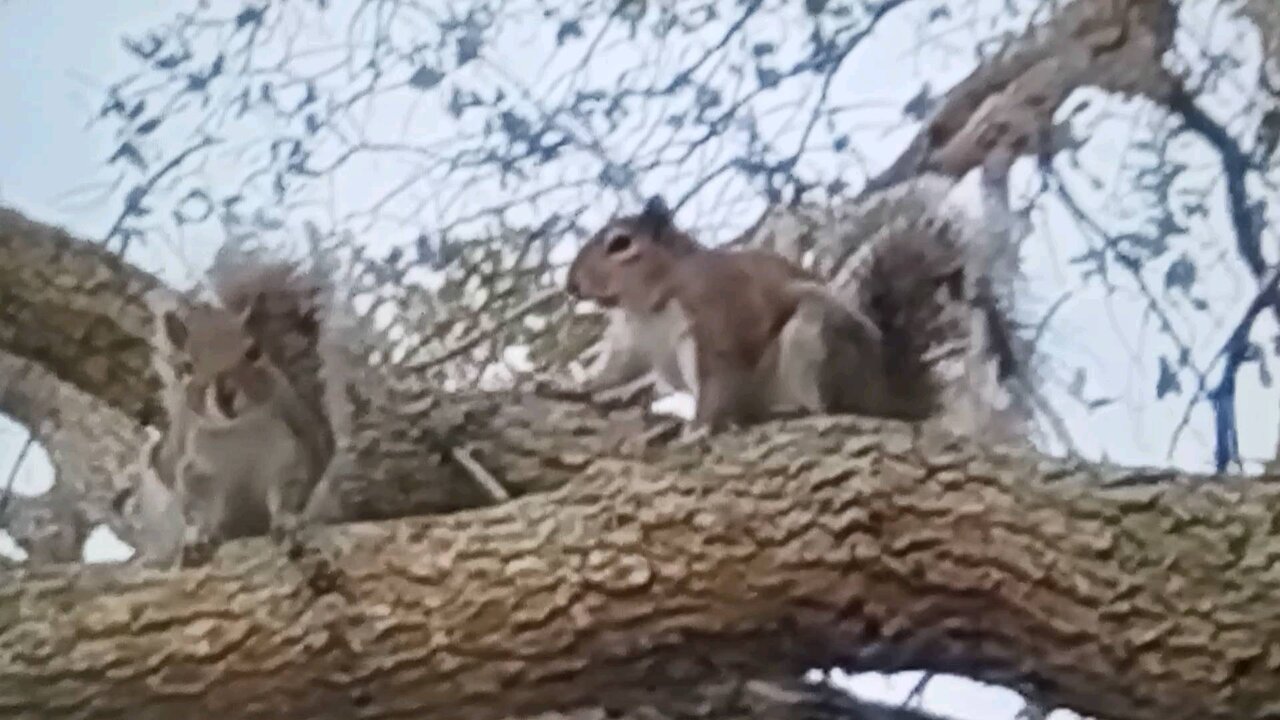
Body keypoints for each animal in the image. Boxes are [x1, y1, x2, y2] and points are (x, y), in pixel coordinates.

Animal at [564, 186, 1027, 435]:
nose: (571, 284)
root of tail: (887, 398)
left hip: (813, 337)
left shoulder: (715, 317)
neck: (647, 300)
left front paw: (699, 427)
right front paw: (570, 386)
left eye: (620, 243)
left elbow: (718, 378)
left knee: (825, 406)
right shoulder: (632, 340)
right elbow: (613, 372)